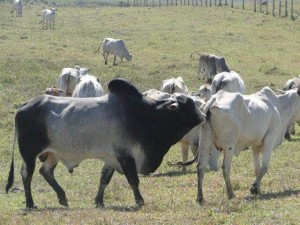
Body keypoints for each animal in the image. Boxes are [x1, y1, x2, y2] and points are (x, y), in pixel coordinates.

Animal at [5, 78, 206, 208]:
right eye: (188, 105)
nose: (204, 116)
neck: (145, 114)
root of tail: (24, 106)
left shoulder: (111, 158)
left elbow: (104, 180)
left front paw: (99, 201)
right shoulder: (126, 156)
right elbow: (133, 180)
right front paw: (140, 201)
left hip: (53, 154)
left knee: (45, 172)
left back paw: (62, 198)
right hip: (29, 154)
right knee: (27, 175)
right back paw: (31, 203)